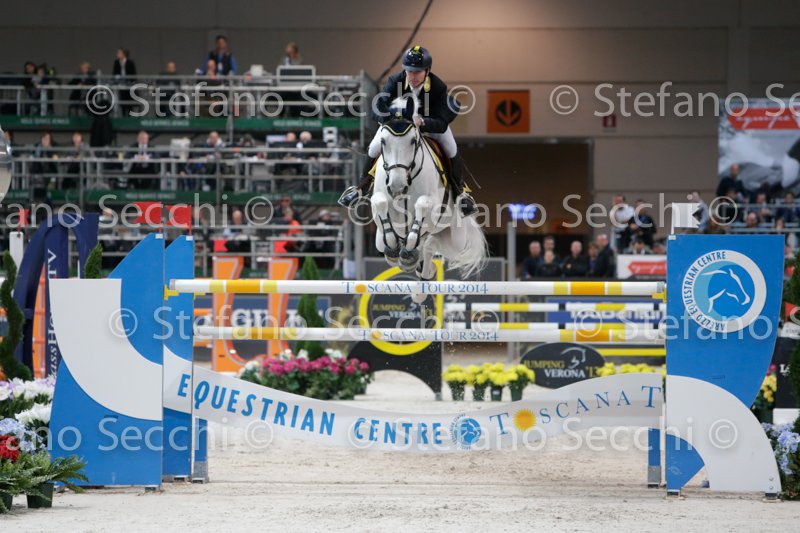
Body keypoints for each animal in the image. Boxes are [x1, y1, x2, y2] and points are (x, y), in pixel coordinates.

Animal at [369, 95, 488, 303]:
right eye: (383, 141)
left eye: (413, 140)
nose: (397, 187)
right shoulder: (381, 203)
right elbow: (381, 202)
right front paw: (393, 249)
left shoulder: (432, 206)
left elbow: (422, 205)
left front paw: (407, 253)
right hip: (378, 240)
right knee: (420, 247)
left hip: (454, 239)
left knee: (430, 245)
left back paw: (420, 278)